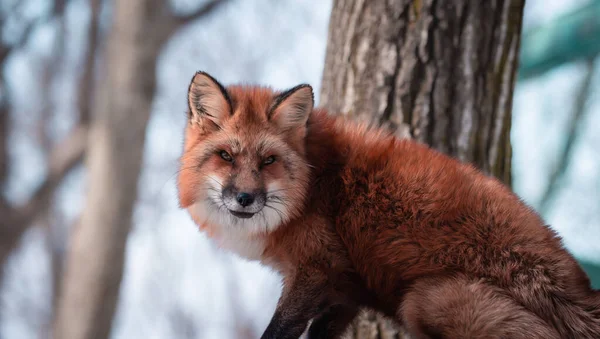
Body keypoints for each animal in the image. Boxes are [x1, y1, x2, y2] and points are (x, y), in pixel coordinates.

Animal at [178, 71, 600, 338]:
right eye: (226, 156)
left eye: (268, 161)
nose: (245, 198)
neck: (312, 187)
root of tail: (581, 292)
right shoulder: (346, 286)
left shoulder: (319, 266)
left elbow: (278, 331)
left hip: (426, 299)